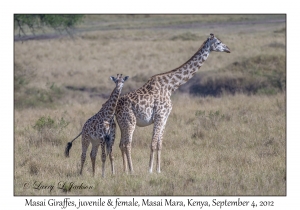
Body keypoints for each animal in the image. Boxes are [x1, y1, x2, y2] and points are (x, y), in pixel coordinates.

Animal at [115, 33, 230, 173]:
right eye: (218, 42)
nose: (228, 49)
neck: (170, 87)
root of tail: (116, 108)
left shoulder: (165, 117)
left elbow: (159, 144)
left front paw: (158, 170)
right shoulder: (160, 115)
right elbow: (153, 143)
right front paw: (150, 170)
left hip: (122, 123)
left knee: (121, 144)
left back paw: (125, 171)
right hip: (130, 121)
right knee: (127, 144)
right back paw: (132, 171)